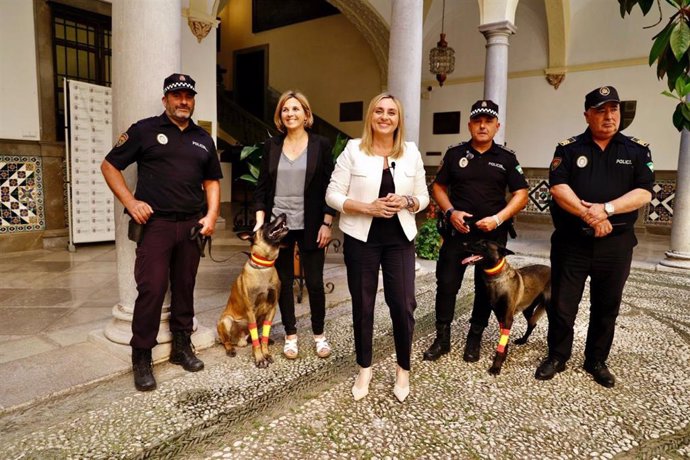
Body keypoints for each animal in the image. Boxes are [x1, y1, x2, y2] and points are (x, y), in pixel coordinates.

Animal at [218, 214, 288, 368]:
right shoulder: (251, 310)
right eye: (266, 224)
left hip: (260, 318)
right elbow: (256, 339)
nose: (283, 214)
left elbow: (264, 336)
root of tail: (239, 341)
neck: (264, 266)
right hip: (226, 321)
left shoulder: (272, 308)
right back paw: (230, 349)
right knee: (227, 341)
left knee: (251, 337)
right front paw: (259, 358)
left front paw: (265, 352)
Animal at [460, 239, 552, 376]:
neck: (496, 280)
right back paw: (523, 340)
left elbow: (502, 343)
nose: (463, 244)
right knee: (532, 324)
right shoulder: (501, 317)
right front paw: (503, 356)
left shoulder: (508, 318)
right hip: (527, 309)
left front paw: (496, 366)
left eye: (483, 244)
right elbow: (504, 341)